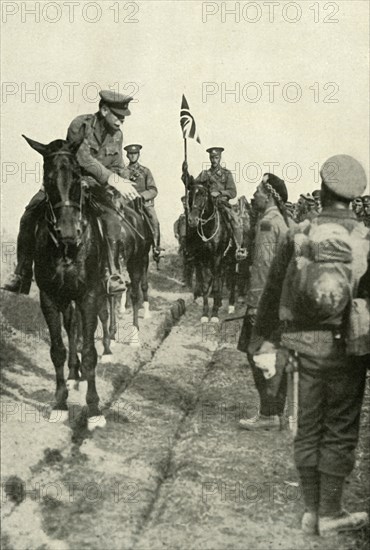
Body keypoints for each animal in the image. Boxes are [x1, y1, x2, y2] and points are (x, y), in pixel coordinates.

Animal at [188, 185, 237, 324]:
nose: (192, 220)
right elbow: (205, 286)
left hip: (232, 260)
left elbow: (214, 286)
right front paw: (205, 314)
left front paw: (214, 314)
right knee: (221, 278)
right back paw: (219, 302)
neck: (209, 229)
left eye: (203, 195)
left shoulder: (217, 258)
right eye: (190, 195)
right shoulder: (202, 260)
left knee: (232, 280)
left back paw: (231, 305)